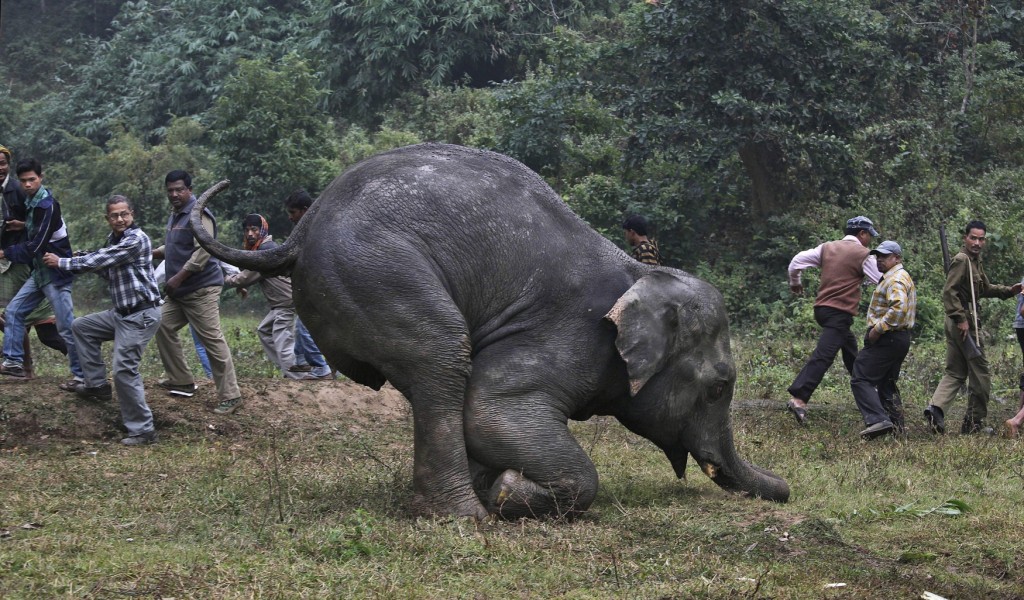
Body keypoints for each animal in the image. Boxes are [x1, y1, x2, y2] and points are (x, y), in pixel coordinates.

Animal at [190, 143, 790, 520]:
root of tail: (301, 230)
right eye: (718, 387)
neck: (637, 275)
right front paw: (508, 492)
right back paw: (462, 518)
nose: (786, 490)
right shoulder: (564, 340)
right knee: (442, 360)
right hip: (373, 272)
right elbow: (491, 409)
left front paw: (501, 485)